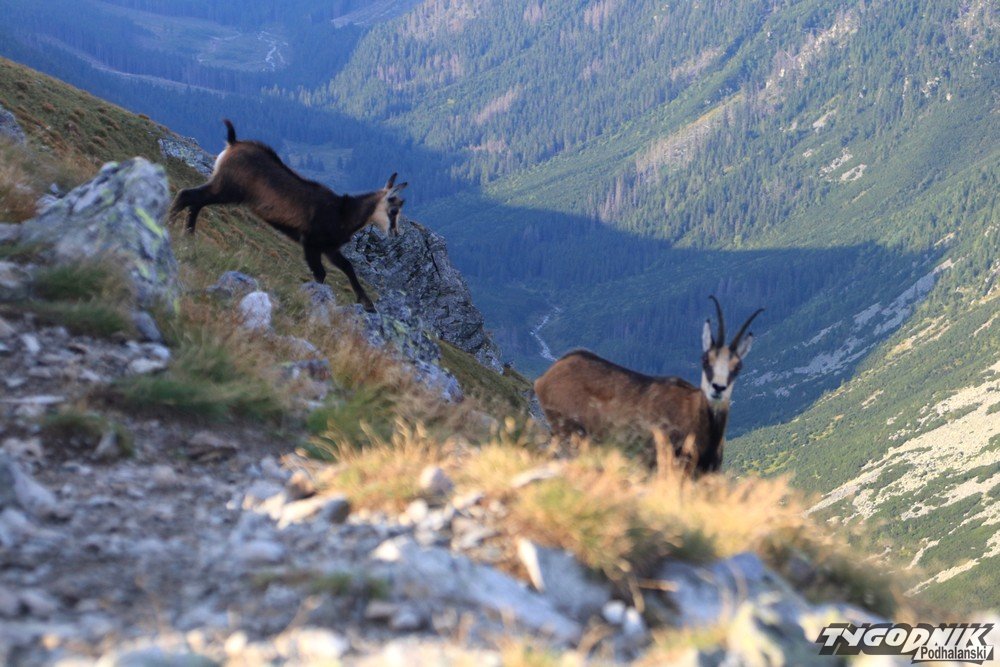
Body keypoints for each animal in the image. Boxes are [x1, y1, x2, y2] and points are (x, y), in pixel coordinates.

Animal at [170, 119, 407, 312]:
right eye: (394, 210)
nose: (396, 234)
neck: (344, 213)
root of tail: (233, 143)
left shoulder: (329, 248)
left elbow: (347, 267)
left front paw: (368, 304)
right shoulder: (311, 243)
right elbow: (320, 274)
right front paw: (318, 298)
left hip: (223, 188)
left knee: (195, 202)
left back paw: (187, 235)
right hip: (227, 188)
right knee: (187, 195)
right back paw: (170, 225)